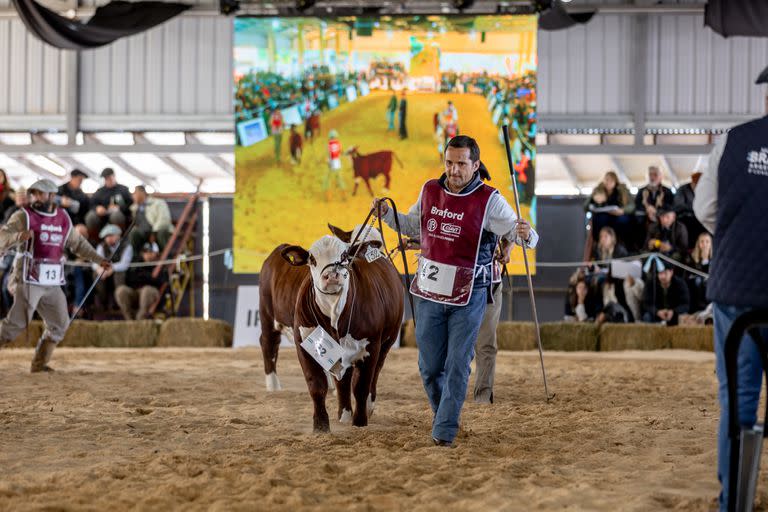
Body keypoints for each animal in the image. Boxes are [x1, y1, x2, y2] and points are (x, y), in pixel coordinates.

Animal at [280, 236, 402, 432]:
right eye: (312, 259)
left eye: (344, 255)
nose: (331, 275)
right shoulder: (304, 345)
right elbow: (316, 385)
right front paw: (320, 425)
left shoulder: (371, 346)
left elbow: (361, 387)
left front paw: (360, 422)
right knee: (342, 381)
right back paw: (344, 415)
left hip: (387, 343)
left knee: (374, 374)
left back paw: (368, 407)